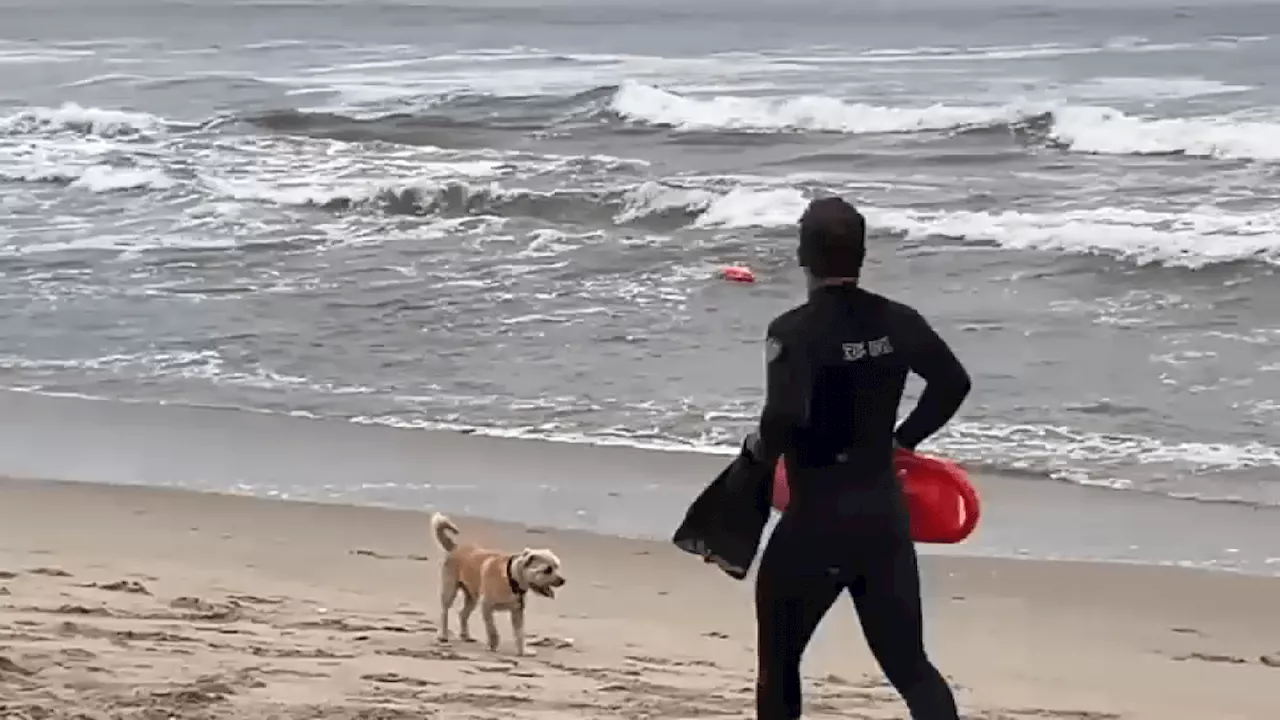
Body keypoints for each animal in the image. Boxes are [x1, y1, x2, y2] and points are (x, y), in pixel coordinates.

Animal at [430, 507, 565, 653]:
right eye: (547, 570)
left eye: (557, 566)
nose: (563, 581)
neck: (511, 578)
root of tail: (455, 547)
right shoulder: (486, 606)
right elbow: (492, 629)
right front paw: (494, 643)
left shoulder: (517, 612)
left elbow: (520, 633)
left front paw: (523, 651)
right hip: (450, 590)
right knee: (444, 612)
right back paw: (444, 635)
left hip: (472, 596)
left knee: (462, 614)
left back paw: (466, 635)